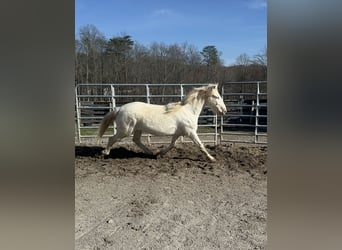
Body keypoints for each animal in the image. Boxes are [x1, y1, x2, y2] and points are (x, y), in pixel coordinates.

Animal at [96, 83, 226, 162]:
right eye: (216, 96)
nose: (224, 111)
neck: (189, 111)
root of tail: (119, 108)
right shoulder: (191, 132)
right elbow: (201, 145)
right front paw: (212, 158)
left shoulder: (177, 133)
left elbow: (172, 145)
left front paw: (159, 154)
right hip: (125, 130)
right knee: (112, 139)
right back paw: (104, 153)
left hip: (137, 129)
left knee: (136, 140)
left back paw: (150, 152)